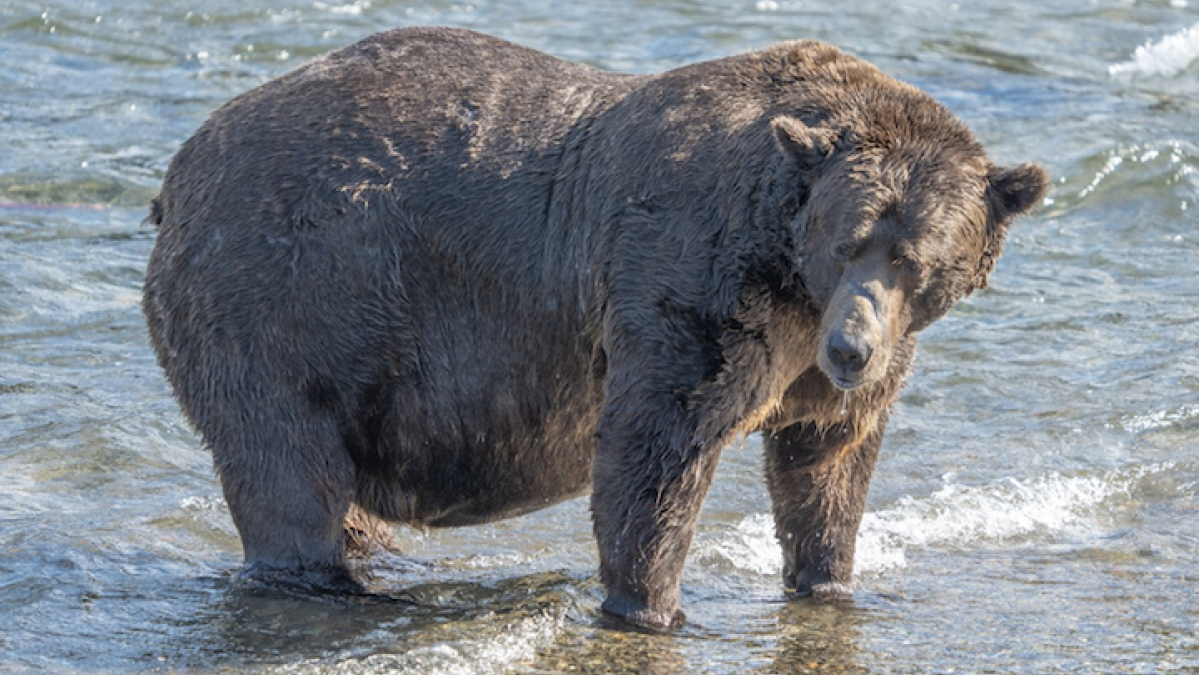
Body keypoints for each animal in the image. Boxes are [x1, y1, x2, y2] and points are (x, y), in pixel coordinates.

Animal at [142, 25, 1050, 628]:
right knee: (287, 466)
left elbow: (827, 461)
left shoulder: (825, 356)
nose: (850, 348)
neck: (789, 270)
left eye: (913, 259)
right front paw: (651, 605)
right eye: (847, 239)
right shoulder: (692, 281)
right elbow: (657, 448)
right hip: (285, 295)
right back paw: (328, 579)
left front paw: (828, 579)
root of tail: (178, 169)